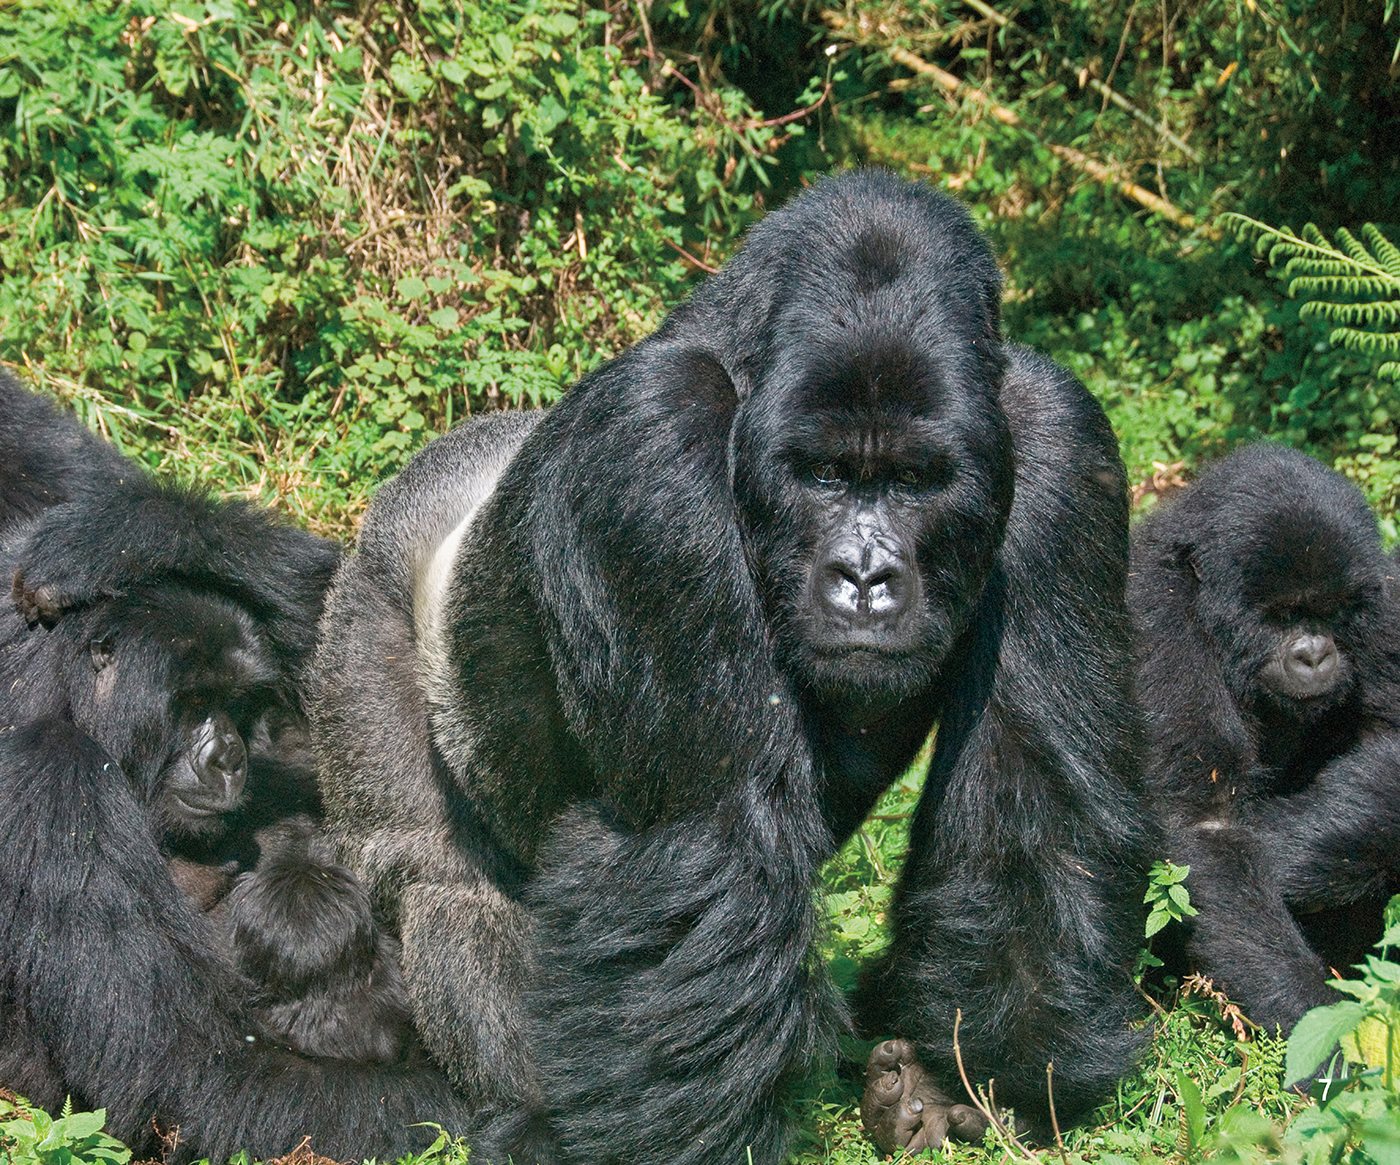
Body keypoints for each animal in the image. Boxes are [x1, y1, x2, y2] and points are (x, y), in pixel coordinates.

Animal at [0, 378, 470, 1159]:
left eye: (237, 703)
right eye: (192, 704)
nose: (227, 758)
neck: (55, 685)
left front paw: (124, 530)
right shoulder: (49, 780)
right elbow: (190, 1074)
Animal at [309, 168, 1148, 1159]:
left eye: (913, 480)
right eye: (825, 474)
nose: (866, 578)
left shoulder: (1059, 438)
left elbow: (1035, 796)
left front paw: (971, 1074)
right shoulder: (649, 441)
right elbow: (708, 833)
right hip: (362, 613)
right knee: (441, 879)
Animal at [1131, 445, 1400, 1036]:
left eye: (1331, 611)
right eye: (1281, 615)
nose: (1314, 655)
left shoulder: (1387, 599)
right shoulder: (1157, 622)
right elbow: (1204, 824)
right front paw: (1318, 1023)